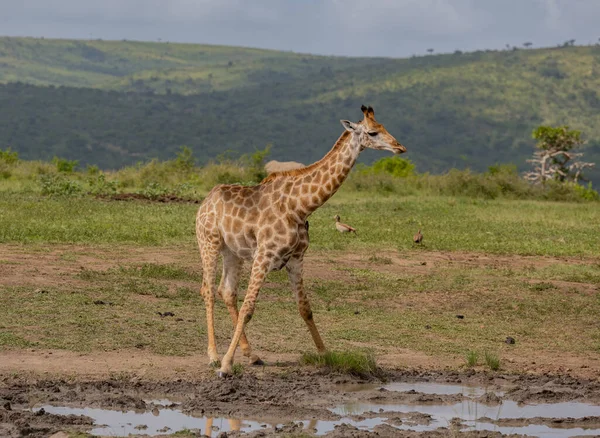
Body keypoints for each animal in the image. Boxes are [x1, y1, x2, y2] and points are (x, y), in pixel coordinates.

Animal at [197, 103, 408, 376]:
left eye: (383, 126)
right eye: (372, 132)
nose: (399, 147)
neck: (301, 207)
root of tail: (205, 201)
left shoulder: (297, 258)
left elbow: (305, 308)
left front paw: (325, 354)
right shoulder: (264, 255)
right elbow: (249, 308)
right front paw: (225, 365)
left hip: (233, 252)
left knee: (227, 291)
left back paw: (252, 355)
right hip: (209, 243)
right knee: (209, 290)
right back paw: (213, 355)